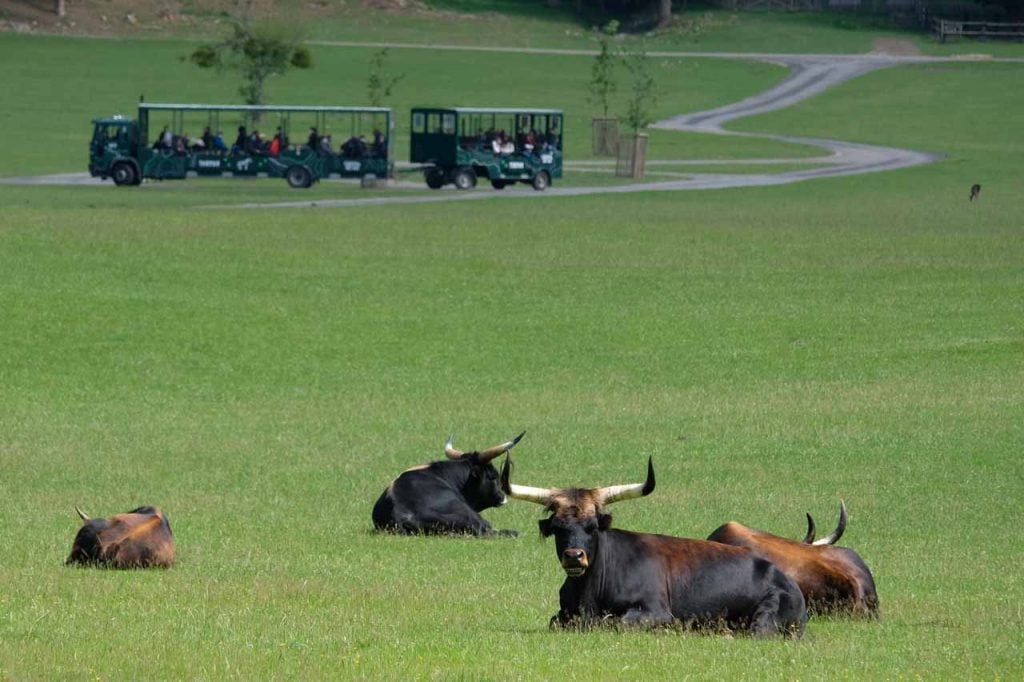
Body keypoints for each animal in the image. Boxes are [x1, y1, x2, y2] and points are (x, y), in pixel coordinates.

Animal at [499, 454, 802, 634]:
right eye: (558, 528)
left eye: (592, 526)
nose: (574, 556)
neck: (589, 593)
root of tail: (785, 578)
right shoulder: (563, 615)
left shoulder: (656, 612)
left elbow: (617, 622)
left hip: (765, 617)